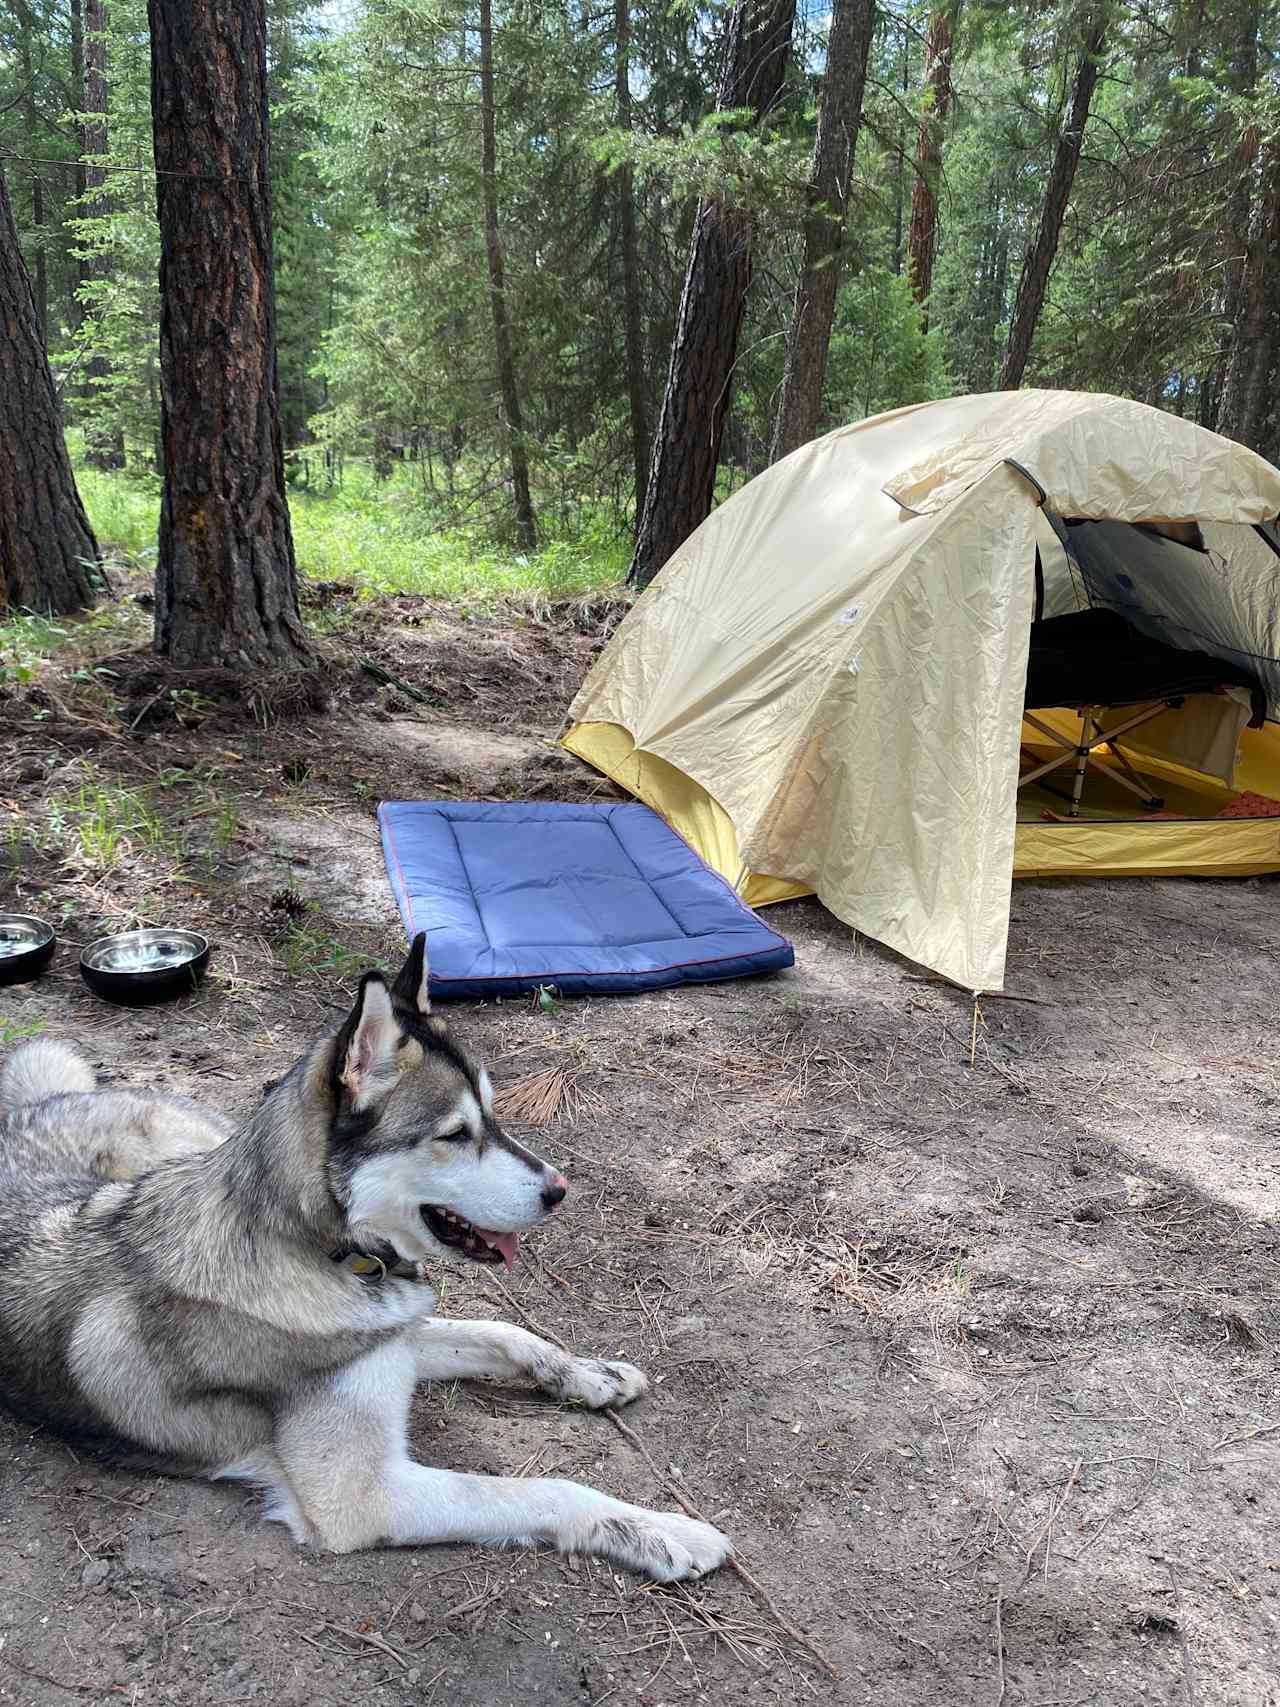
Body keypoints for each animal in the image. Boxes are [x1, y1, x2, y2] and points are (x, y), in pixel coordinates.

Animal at [0, 942, 730, 1577]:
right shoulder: (361, 1497)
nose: (559, 1191)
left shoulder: (393, 1336)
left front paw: (586, 1374)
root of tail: (36, 1105)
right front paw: (660, 1530)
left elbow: (504, 1332)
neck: (319, 1248)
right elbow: (545, 1488)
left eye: (493, 1117)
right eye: (455, 1135)